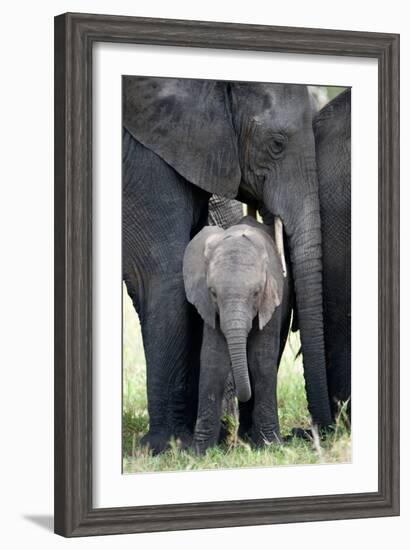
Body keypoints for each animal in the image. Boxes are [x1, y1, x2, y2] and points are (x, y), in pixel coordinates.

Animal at [183, 216, 292, 452]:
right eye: (213, 293)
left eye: (256, 293)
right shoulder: (209, 307)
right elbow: (214, 360)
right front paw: (200, 452)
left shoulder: (272, 299)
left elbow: (261, 361)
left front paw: (271, 446)